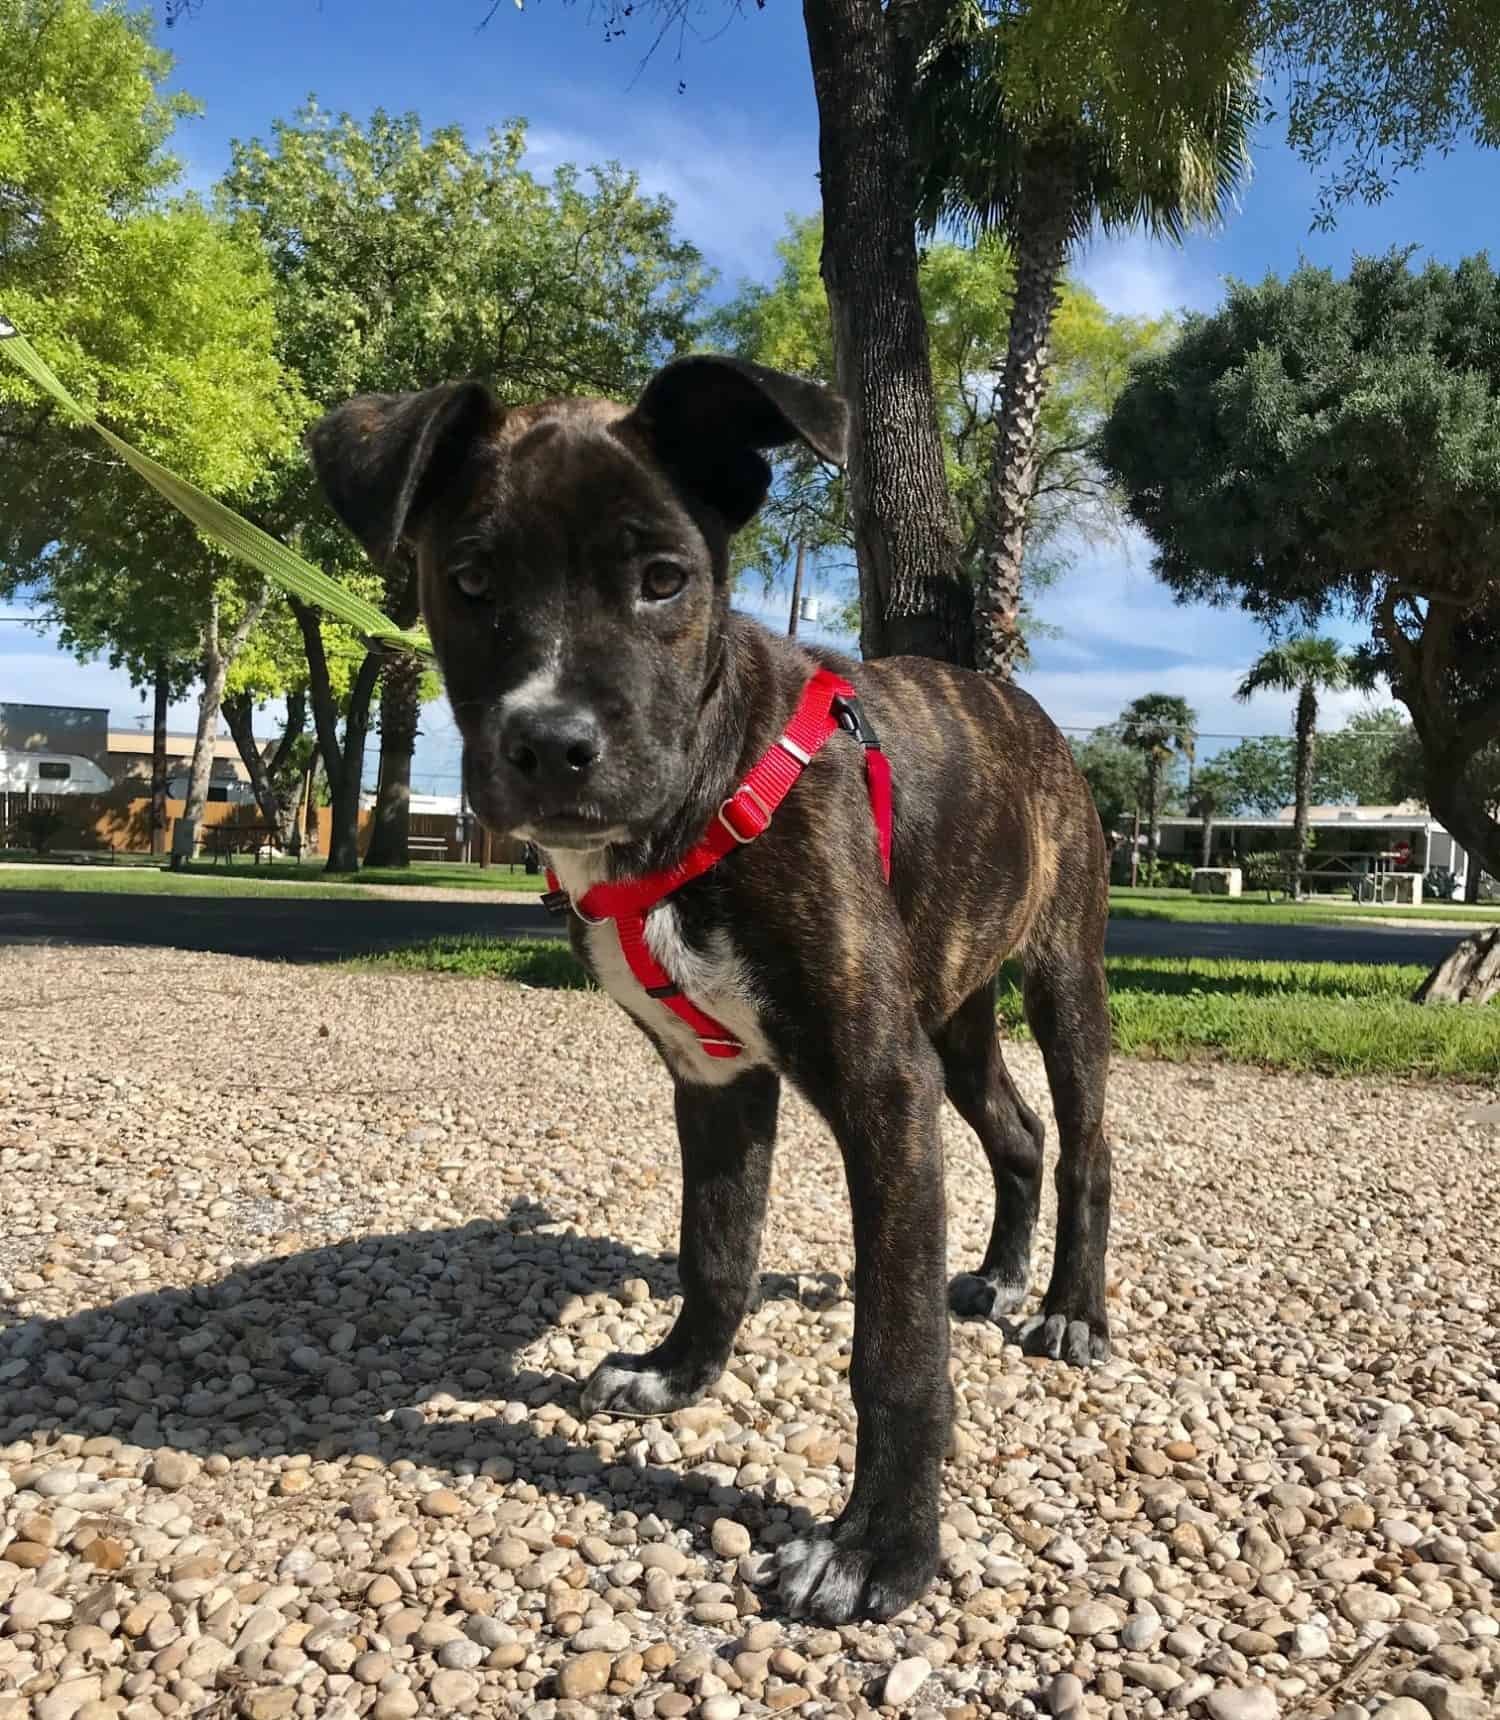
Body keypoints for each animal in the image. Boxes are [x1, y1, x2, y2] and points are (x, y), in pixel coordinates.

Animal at [307, 352, 1114, 1623]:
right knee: (1017, 1130)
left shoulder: (881, 1084)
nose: (552, 745)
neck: (699, 793)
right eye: (471, 579)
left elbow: (895, 1347)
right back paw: (993, 1275)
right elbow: (717, 1242)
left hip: (1061, 976)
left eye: (663, 580)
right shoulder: (717, 1074)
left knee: (1083, 1146)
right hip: (953, 1010)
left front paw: (880, 1550)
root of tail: (1017, 702)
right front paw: (681, 1372)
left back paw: (1071, 1308)